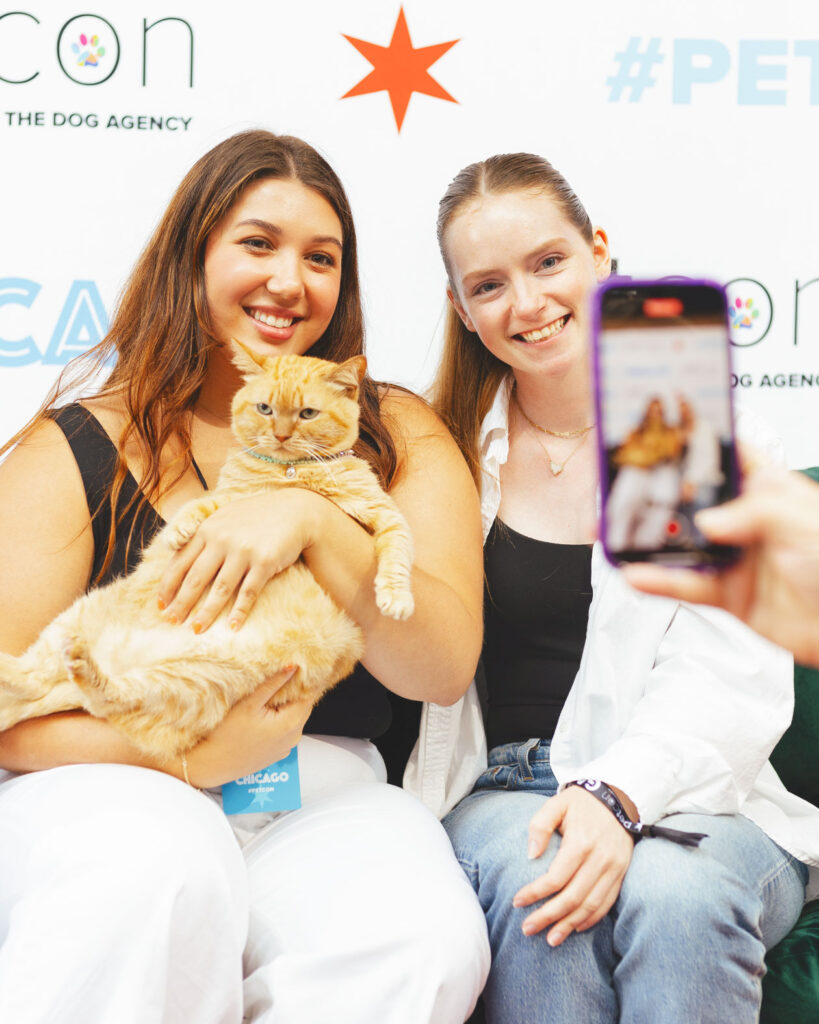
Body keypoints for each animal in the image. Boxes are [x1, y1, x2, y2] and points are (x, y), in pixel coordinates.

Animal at [0, 350, 413, 761]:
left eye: (307, 413)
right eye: (265, 408)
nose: (280, 435)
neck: (289, 474)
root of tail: (115, 656)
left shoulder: (382, 512)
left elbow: (398, 551)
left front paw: (396, 598)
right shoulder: (232, 496)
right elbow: (206, 505)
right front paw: (178, 531)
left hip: (190, 685)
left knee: (97, 696)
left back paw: (83, 668)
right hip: (79, 618)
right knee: (36, 679)